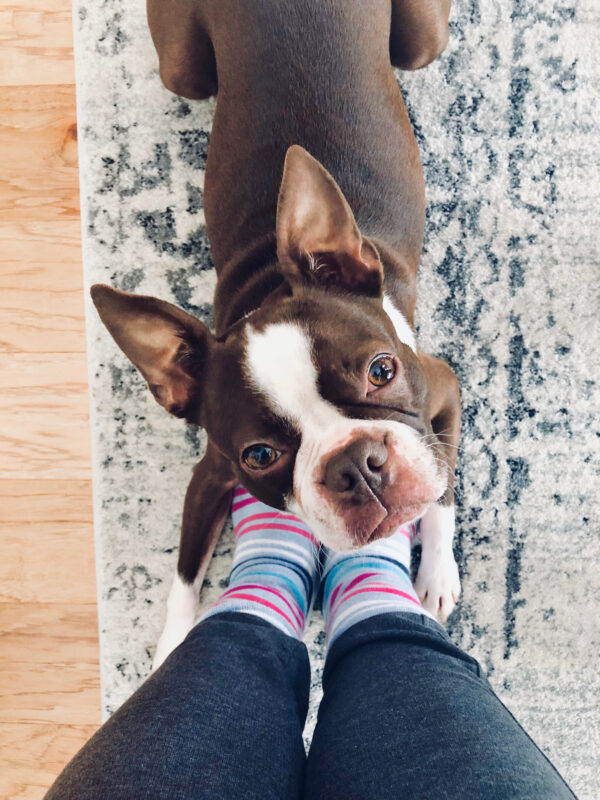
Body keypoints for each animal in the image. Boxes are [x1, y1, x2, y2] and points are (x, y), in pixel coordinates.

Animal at [92, 0, 460, 668]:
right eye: (260, 456)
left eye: (383, 370)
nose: (356, 465)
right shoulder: (212, 471)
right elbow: (184, 573)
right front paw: (173, 646)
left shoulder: (446, 390)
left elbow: (442, 485)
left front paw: (438, 573)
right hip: (184, 72)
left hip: (423, 43)